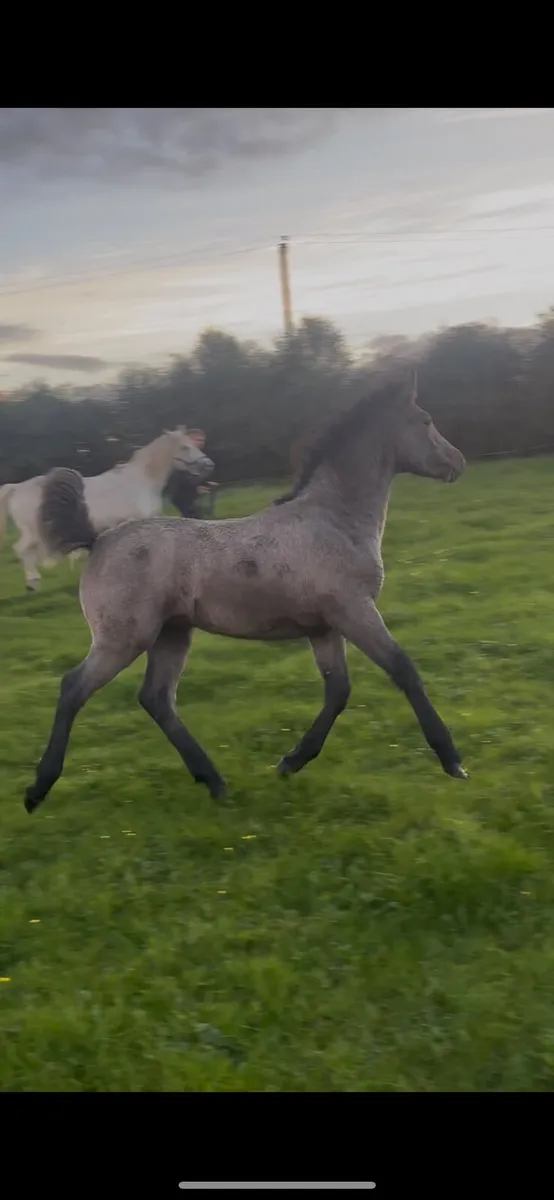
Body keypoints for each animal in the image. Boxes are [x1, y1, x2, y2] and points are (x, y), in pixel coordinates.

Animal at [0, 427, 214, 591]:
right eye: (184, 447)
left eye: (194, 445)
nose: (208, 465)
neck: (140, 481)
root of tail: (16, 488)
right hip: (34, 533)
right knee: (22, 550)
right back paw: (32, 583)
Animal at [24, 375, 468, 815]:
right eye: (425, 421)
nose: (458, 462)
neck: (333, 520)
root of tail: (97, 540)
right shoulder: (354, 611)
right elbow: (403, 669)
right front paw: (453, 761)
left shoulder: (324, 628)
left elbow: (338, 691)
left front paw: (290, 762)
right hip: (123, 638)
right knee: (74, 688)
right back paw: (37, 790)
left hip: (172, 633)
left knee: (156, 698)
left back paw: (214, 781)